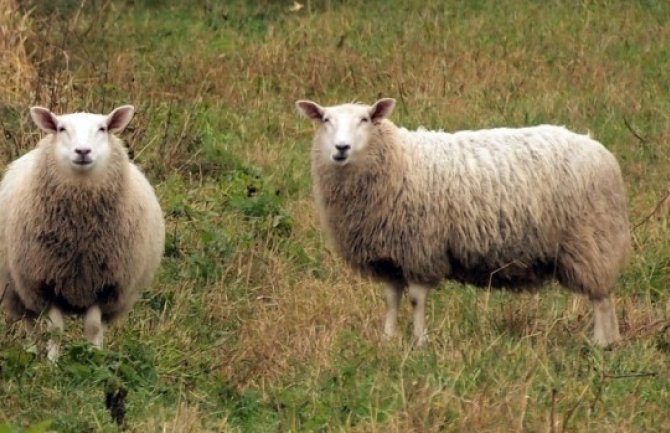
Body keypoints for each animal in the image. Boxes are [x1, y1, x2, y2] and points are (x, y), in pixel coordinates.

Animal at [0, 105, 165, 362]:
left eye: (103, 128)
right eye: (61, 128)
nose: (83, 151)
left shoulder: (106, 285)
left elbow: (93, 328)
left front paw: (94, 360)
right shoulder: (46, 281)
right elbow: (55, 330)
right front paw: (51, 363)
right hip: (17, 287)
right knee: (28, 321)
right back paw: (29, 352)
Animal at [296, 98, 632, 348]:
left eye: (365, 119)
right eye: (325, 119)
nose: (341, 148)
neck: (397, 159)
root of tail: (599, 150)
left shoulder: (420, 247)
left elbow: (416, 299)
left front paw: (419, 342)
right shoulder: (389, 256)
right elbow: (391, 300)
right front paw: (388, 340)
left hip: (591, 239)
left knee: (601, 297)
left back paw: (601, 343)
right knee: (605, 295)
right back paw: (612, 341)